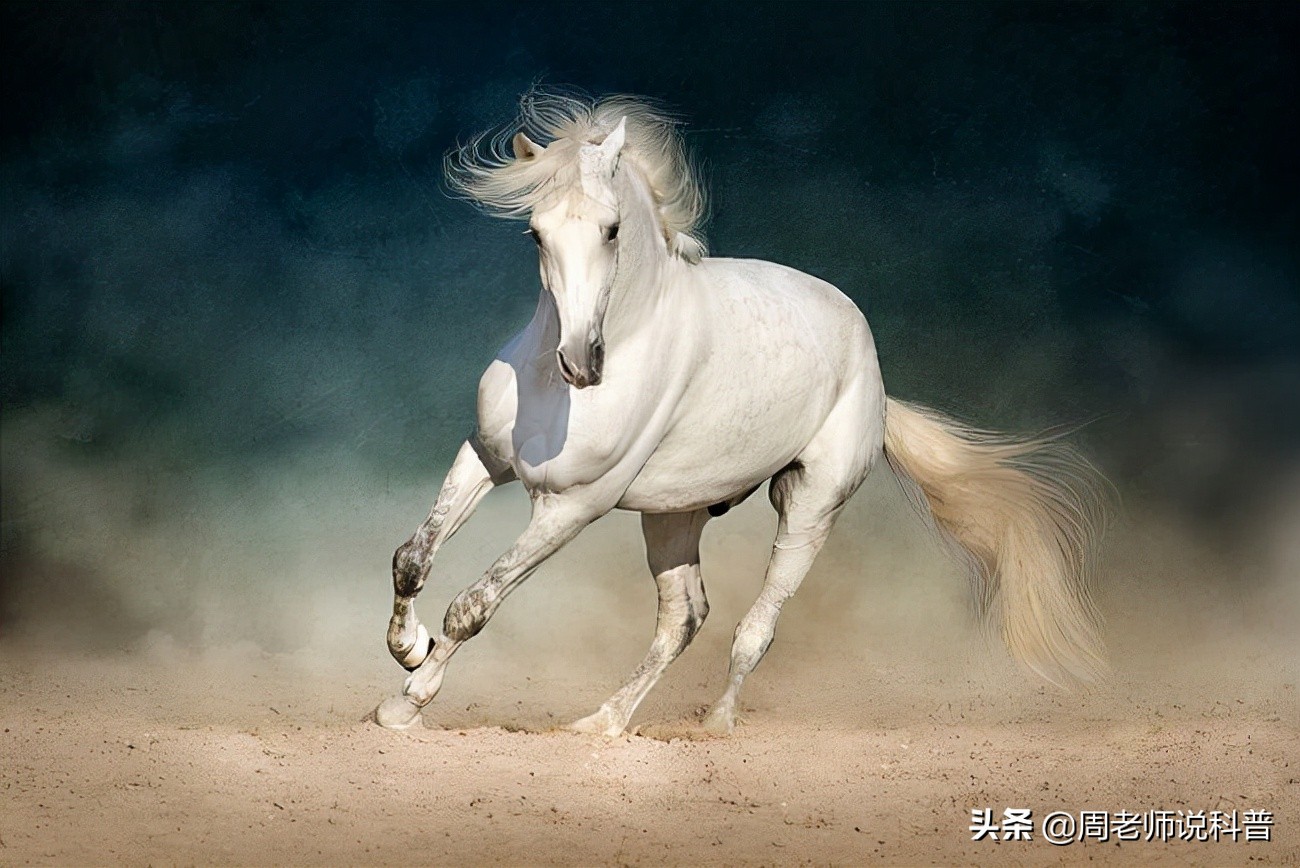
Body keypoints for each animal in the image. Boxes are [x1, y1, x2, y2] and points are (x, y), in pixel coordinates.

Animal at [375, 93, 1107, 735]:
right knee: (684, 619)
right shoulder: (485, 458)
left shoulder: (571, 507)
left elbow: (474, 605)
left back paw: (716, 725)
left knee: (756, 626)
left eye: (612, 230)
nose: (581, 363)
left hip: (809, 507)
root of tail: (875, 378)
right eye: (535, 233)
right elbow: (413, 557)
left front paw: (405, 703)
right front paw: (408, 649)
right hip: (673, 515)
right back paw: (601, 724)